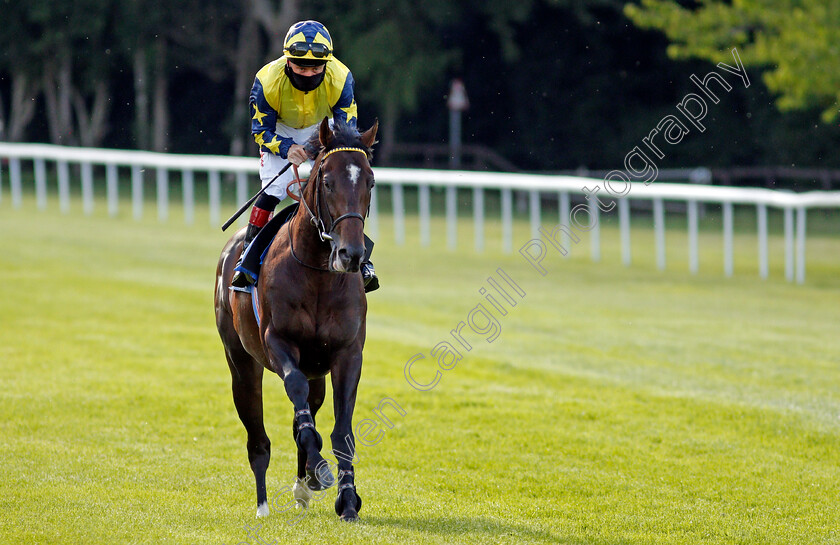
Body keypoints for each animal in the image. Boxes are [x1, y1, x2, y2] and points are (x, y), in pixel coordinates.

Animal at [213, 118, 378, 520]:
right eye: (328, 181)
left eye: (369, 181)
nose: (351, 254)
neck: (318, 272)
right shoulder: (278, 343)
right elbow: (296, 395)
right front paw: (320, 468)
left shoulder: (347, 352)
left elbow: (341, 429)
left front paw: (347, 499)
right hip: (241, 362)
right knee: (258, 438)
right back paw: (263, 505)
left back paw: (304, 485)